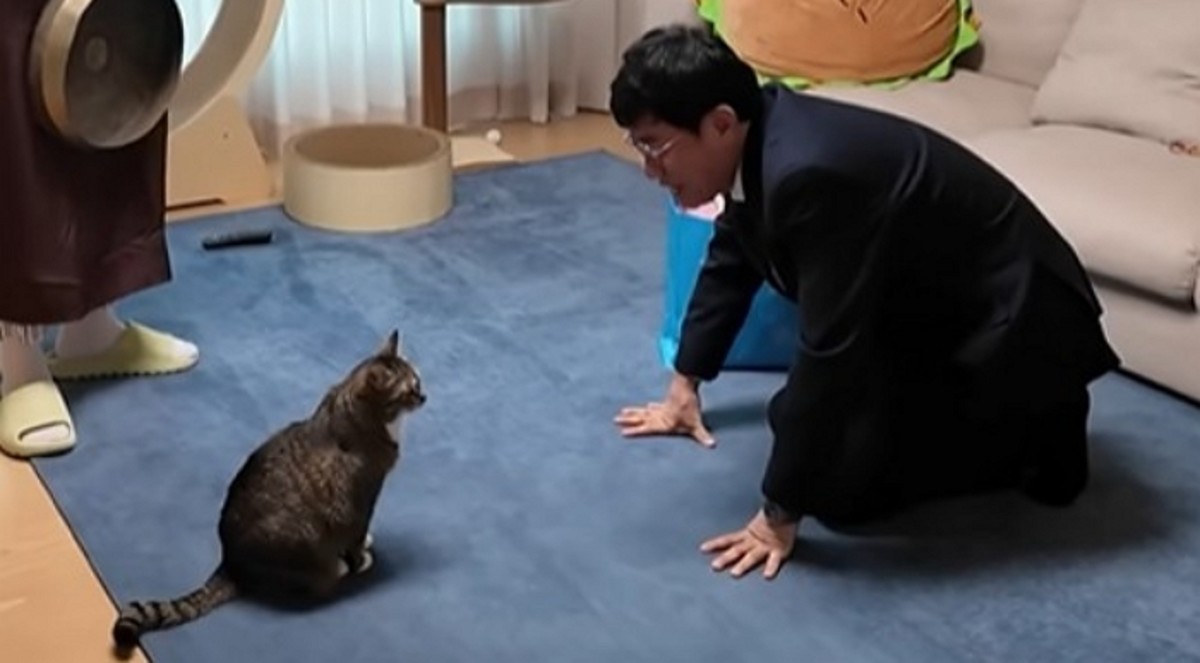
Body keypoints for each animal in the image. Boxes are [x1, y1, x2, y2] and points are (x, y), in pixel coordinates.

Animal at [111, 329, 425, 650]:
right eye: (409, 390)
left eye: (419, 381)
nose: (424, 396)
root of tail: (230, 562)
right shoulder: (363, 496)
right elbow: (357, 534)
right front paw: (361, 559)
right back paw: (338, 568)